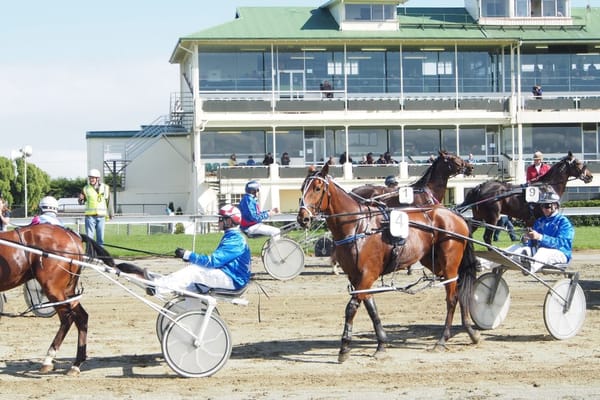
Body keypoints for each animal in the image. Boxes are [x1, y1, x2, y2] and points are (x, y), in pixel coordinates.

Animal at [0, 223, 113, 376]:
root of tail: (72, 234)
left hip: (53, 288)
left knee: (67, 318)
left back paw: (49, 359)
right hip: (68, 291)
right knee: (81, 317)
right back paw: (76, 364)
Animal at [298, 162, 480, 362]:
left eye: (317, 188)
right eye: (302, 188)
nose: (302, 218)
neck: (358, 226)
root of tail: (454, 215)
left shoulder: (367, 274)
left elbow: (351, 308)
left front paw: (344, 347)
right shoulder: (357, 277)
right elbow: (371, 308)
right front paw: (381, 344)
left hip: (449, 264)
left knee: (452, 298)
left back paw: (442, 339)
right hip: (434, 262)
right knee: (460, 290)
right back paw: (470, 331)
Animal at [460, 151, 592, 242]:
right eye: (578, 163)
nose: (590, 176)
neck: (547, 187)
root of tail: (480, 187)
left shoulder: (530, 220)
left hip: (478, 217)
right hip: (492, 217)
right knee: (487, 237)